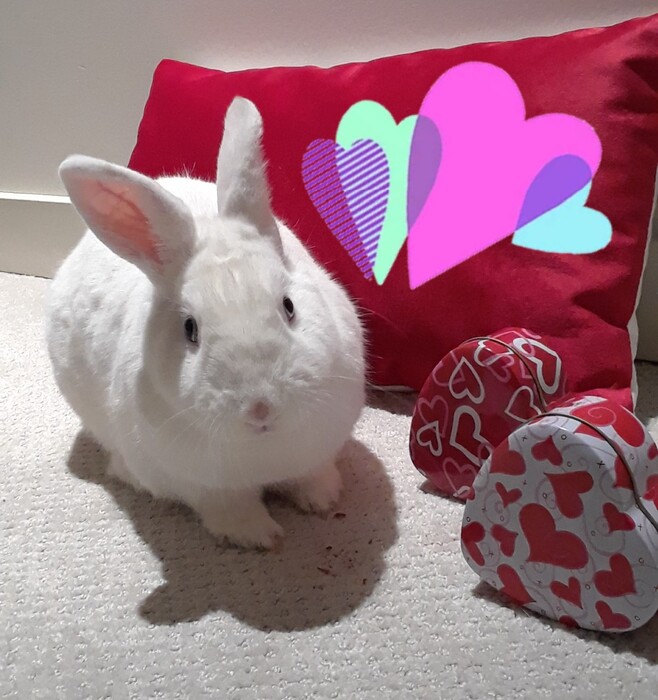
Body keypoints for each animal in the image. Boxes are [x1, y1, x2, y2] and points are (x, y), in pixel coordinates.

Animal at [47, 95, 364, 548]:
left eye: (289, 307)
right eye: (190, 330)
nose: (260, 407)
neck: (265, 450)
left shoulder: (316, 453)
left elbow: (311, 476)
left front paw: (322, 499)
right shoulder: (205, 488)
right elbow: (230, 510)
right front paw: (262, 537)